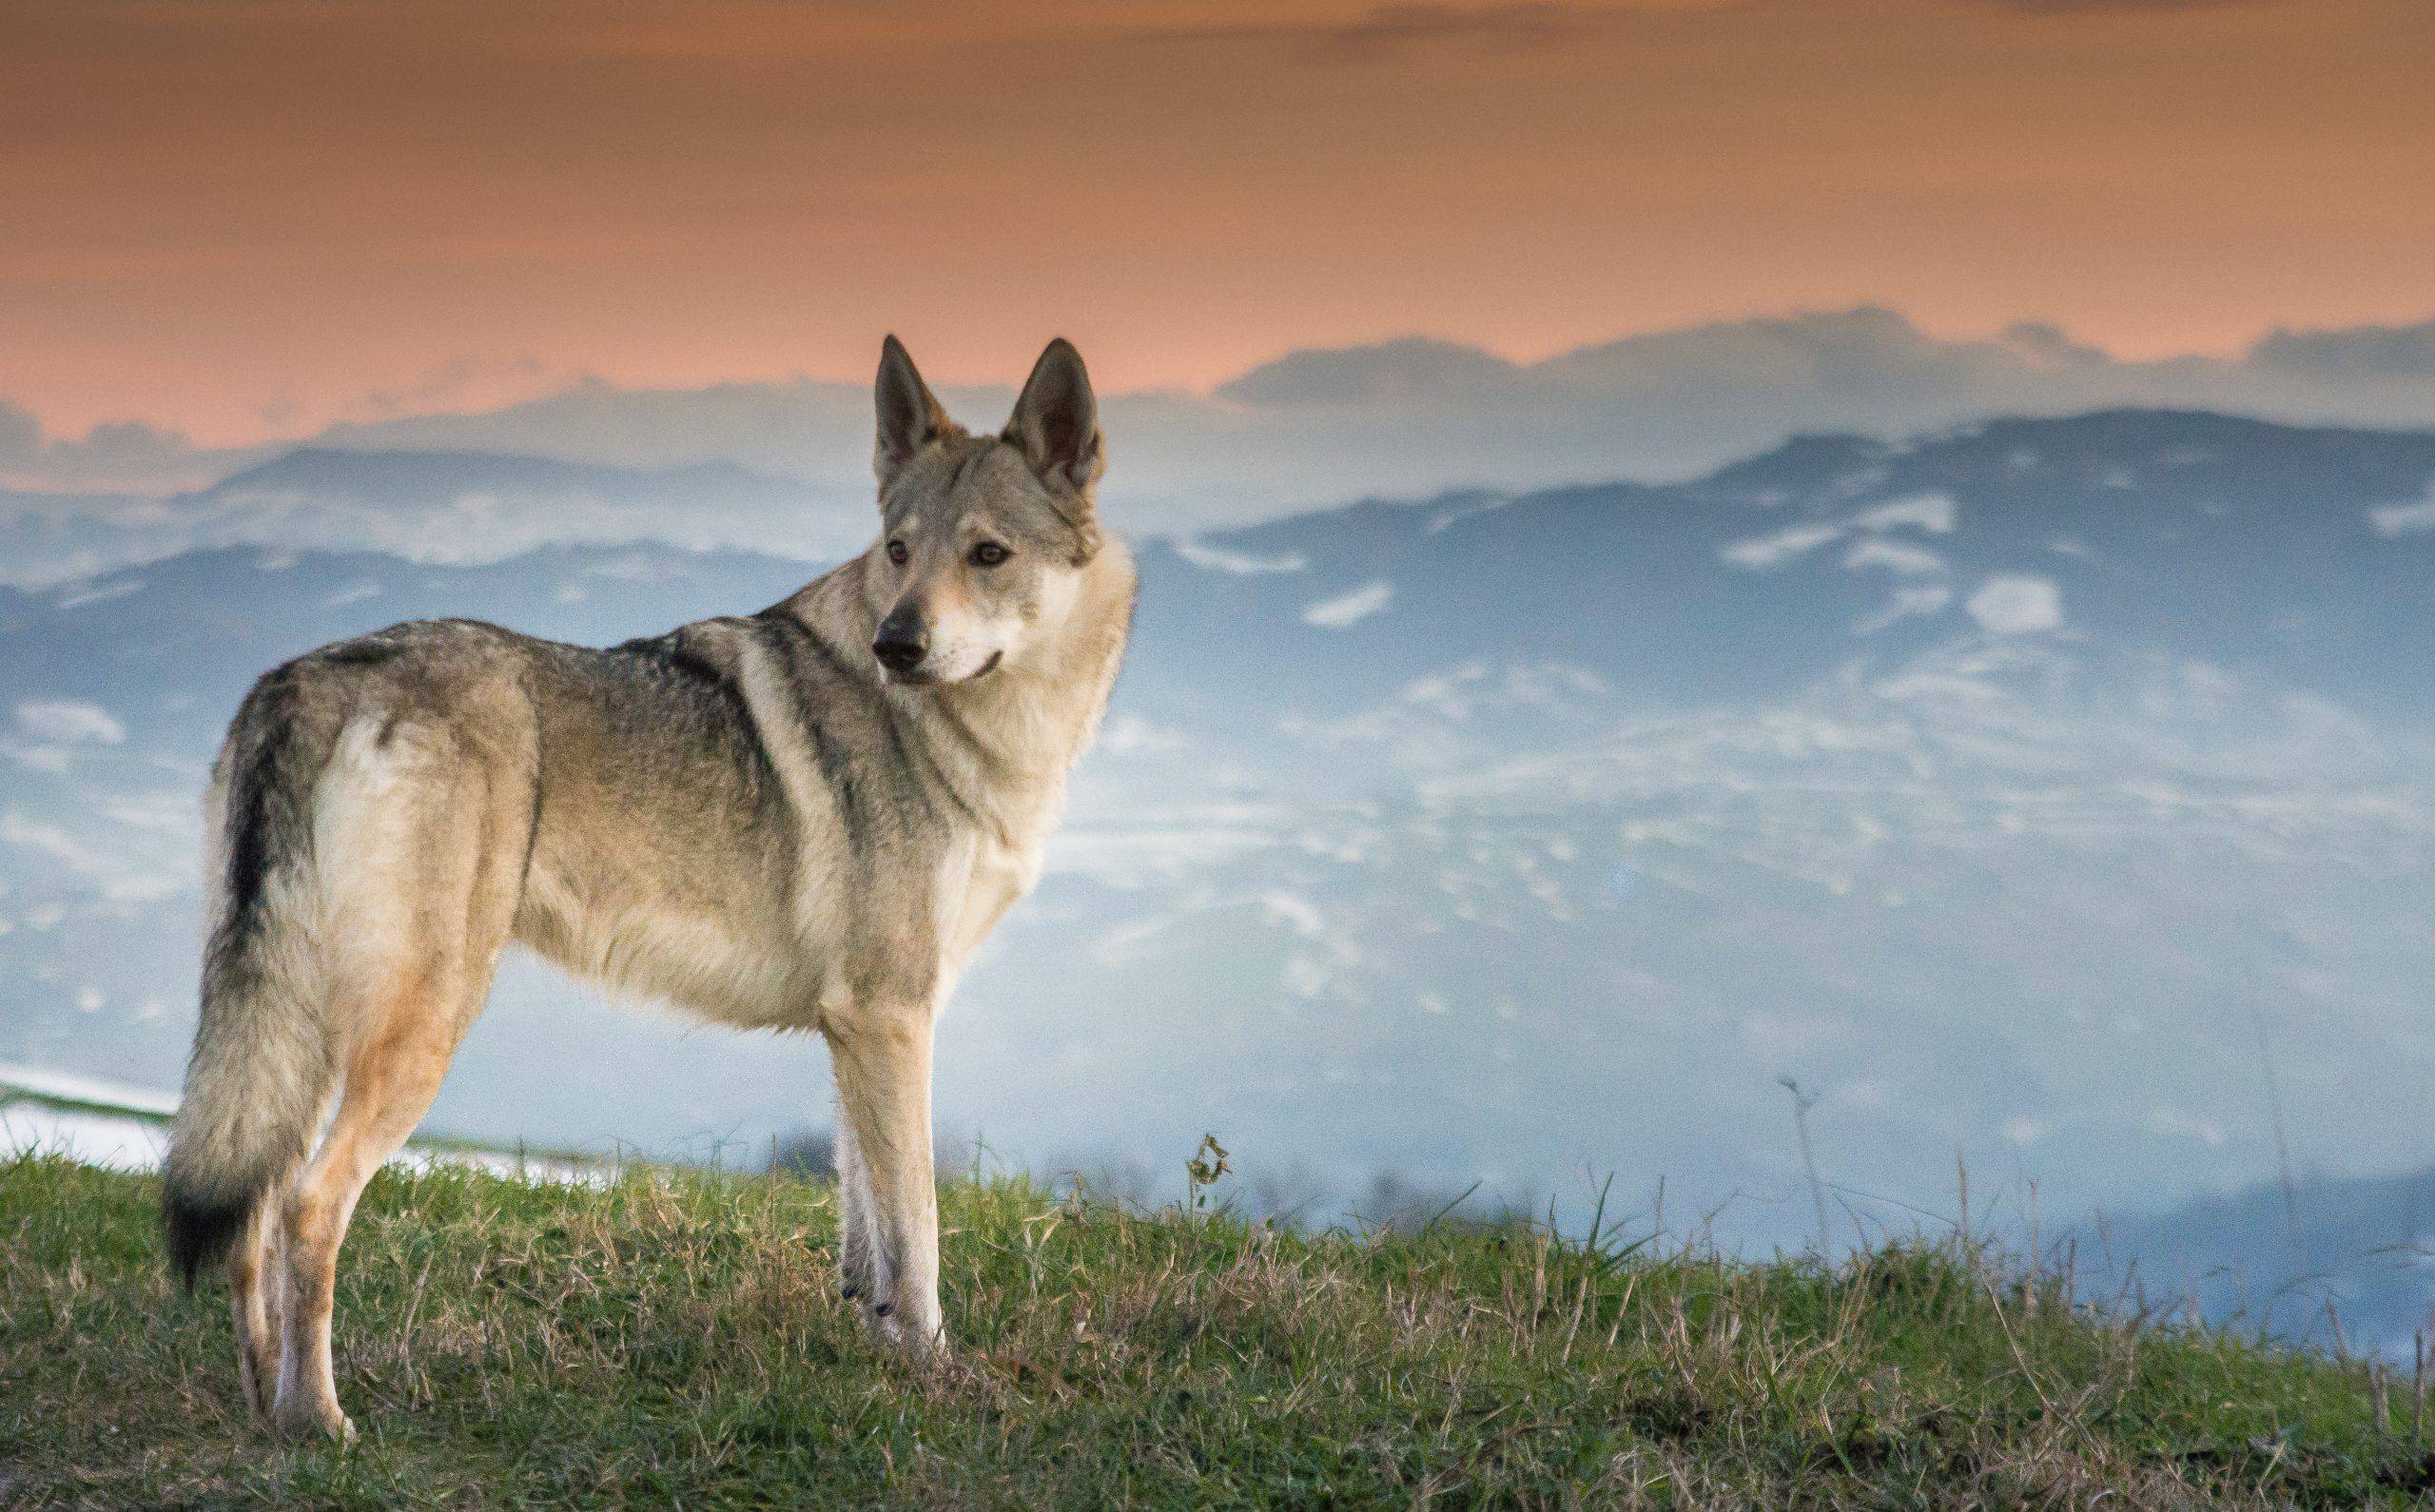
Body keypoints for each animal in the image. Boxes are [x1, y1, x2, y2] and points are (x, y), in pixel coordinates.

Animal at [162, 337, 1135, 1439]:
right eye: (898, 550)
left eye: (986, 555)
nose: (896, 644)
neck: (980, 738)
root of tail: (305, 681)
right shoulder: (893, 1016)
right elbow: (918, 1230)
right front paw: (935, 1373)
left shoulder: (857, 1025)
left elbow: (865, 1223)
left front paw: (873, 1348)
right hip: (419, 1027)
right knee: (307, 1206)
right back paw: (321, 1423)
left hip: (303, 1029)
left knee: (251, 1210)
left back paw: (262, 1410)